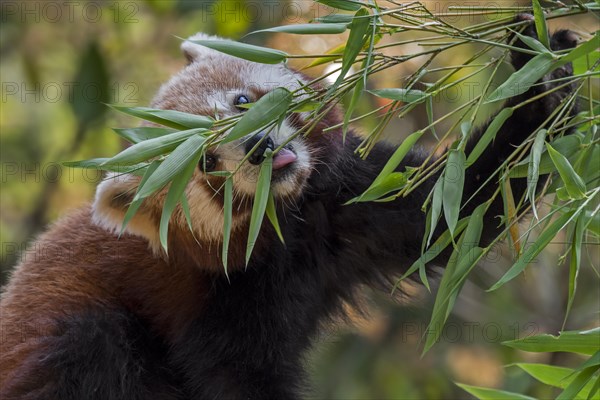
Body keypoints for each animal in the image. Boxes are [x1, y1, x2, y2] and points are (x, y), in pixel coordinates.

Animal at [1, 18, 580, 400]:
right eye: (206, 163)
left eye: (241, 102)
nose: (258, 146)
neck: (289, 223)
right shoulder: (219, 298)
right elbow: (236, 377)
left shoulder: (349, 201)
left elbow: (452, 206)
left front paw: (543, 77)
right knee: (92, 346)